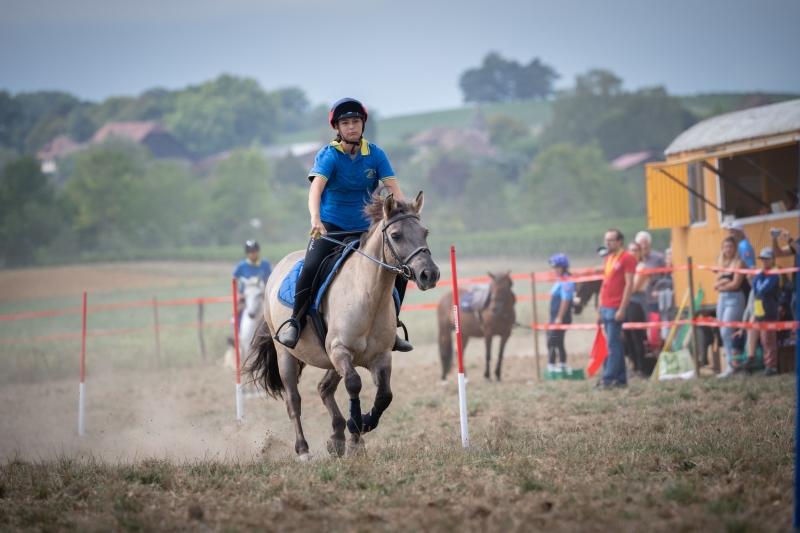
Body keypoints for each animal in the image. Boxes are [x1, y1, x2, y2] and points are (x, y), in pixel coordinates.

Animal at [247, 193, 440, 460]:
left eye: (425, 232)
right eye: (396, 235)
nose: (429, 274)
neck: (368, 295)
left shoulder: (380, 357)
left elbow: (384, 395)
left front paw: (362, 428)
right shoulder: (340, 351)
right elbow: (354, 385)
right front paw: (356, 428)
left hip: (331, 360)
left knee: (324, 389)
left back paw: (337, 438)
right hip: (286, 355)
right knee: (294, 401)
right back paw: (304, 450)